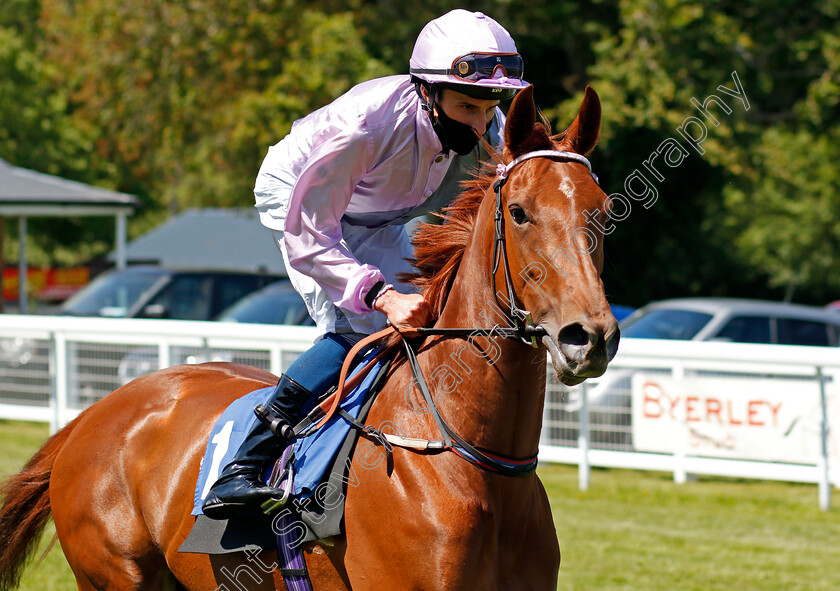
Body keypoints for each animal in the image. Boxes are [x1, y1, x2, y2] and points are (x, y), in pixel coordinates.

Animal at [0, 85, 616, 588]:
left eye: (603, 209)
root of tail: (93, 414)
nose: (587, 337)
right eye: (519, 212)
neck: (472, 461)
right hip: (114, 575)